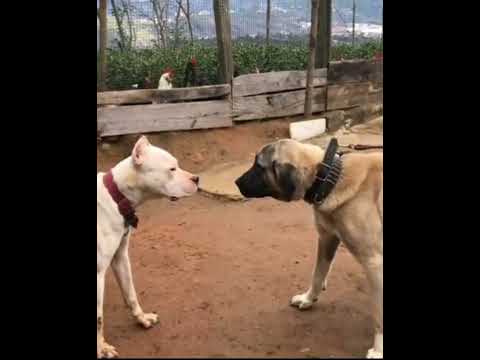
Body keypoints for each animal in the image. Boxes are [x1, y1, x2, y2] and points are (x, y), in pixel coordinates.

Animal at [97, 136, 199, 358]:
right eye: (171, 169)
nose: (197, 179)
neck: (116, 196)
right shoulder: (97, 274)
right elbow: (98, 317)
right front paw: (101, 348)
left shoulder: (120, 257)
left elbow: (131, 294)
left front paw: (142, 318)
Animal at [234, 139, 384, 358]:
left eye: (259, 166)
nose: (236, 182)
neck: (331, 177)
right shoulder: (327, 238)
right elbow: (318, 274)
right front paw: (308, 298)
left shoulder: (375, 263)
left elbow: (379, 315)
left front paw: (379, 349)